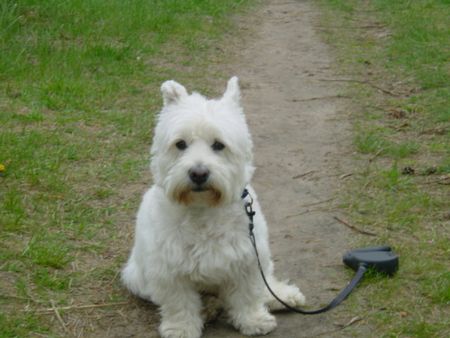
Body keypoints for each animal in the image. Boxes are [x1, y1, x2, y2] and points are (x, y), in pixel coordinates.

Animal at [121, 77, 304, 338]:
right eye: (180, 144)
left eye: (219, 145)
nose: (198, 173)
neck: (203, 210)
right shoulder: (169, 271)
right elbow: (180, 303)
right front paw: (181, 328)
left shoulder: (247, 259)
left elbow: (248, 295)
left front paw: (254, 320)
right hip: (137, 276)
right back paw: (209, 308)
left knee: (265, 282)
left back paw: (282, 296)